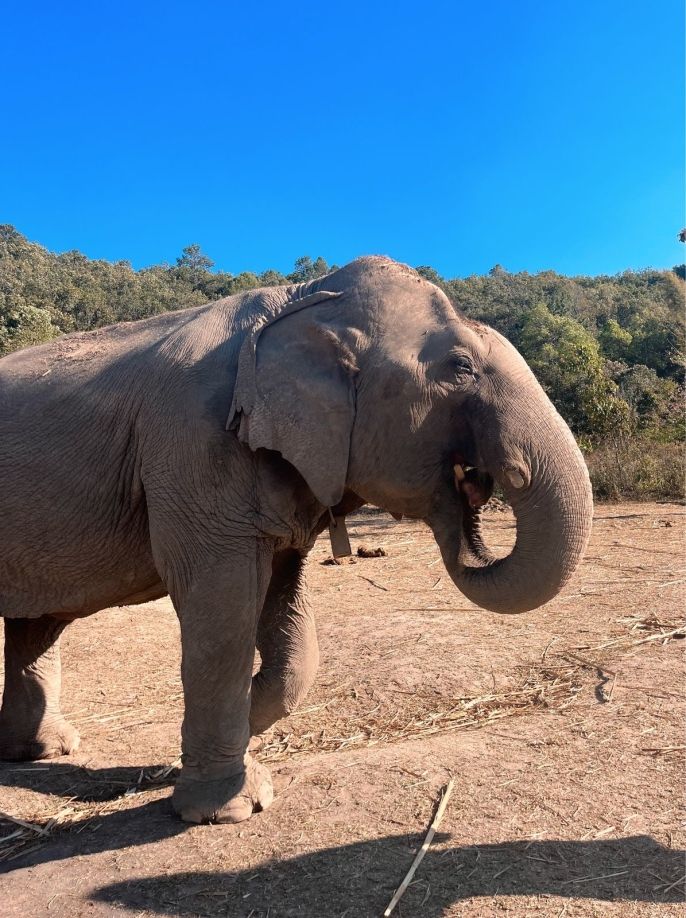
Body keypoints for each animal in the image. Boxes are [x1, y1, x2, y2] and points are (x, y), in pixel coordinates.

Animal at [0, 256, 592, 828]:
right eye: (461, 367)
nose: (477, 482)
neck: (305, 299)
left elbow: (287, 616)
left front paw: (242, 729)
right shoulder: (196, 450)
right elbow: (221, 609)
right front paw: (229, 808)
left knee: (38, 624)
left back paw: (46, 751)